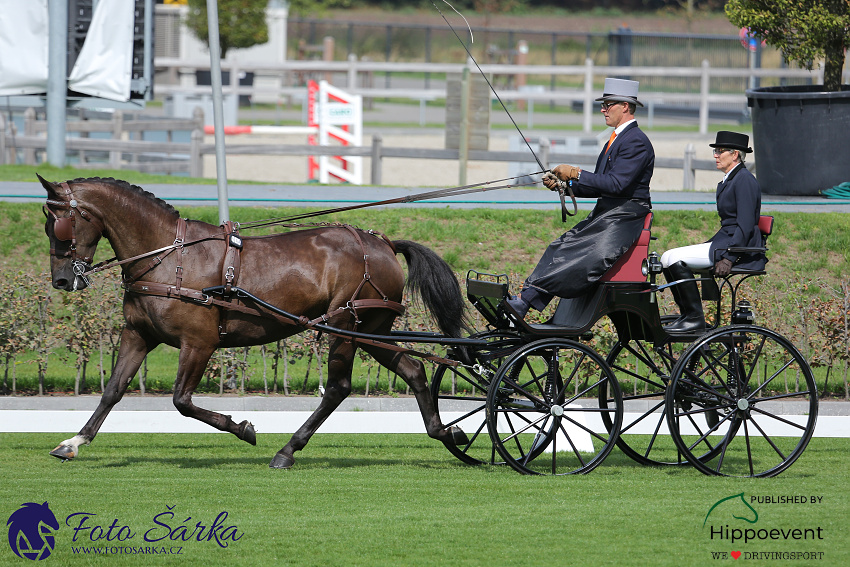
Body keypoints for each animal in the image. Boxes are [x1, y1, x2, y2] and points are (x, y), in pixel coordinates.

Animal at [39, 175, 470, 468]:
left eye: (61, 224)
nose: (61, 280)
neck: (169, 257)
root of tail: (382, 243)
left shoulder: (199, 343)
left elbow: (182, 401)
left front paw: (243, 428)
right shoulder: (138, 334)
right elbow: (113, 390)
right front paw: (74, 441)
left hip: (346, 327)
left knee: (338, 388)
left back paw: (288, 449)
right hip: (371, 331)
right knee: (413, 370)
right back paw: (446, 431)